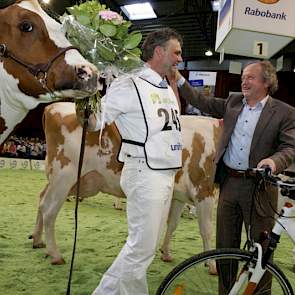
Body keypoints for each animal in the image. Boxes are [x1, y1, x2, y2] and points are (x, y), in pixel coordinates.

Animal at [31, 102, 223, 266]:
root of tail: (53, 107)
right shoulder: (204, 191)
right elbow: (206, 230)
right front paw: (212, 264)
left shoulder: (179, 195)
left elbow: (172, 224)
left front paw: (166, 253)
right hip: (64, 177)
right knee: (48, 210)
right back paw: (55, 254)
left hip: (60, 179)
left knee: (41, 199)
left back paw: (38, 240)